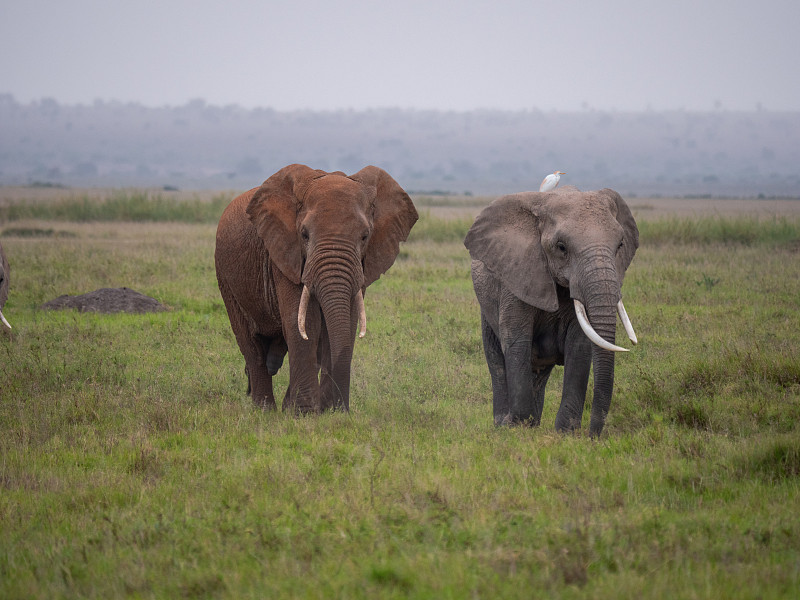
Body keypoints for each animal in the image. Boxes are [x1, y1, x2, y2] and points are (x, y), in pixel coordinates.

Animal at [217, 164, 418, 412]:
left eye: (365, 236)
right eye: (304, 234)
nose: (343, 409)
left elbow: (346, 322)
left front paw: (326, 412)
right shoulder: (285, 255)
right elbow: (304, 324)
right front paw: (305, 413)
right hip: (225, 278)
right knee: (252, 346)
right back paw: (264, 410)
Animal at [462, 188, 636, 436]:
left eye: (620, 245)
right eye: (561, 247)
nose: (593, 436)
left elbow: (579, 346)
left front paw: (566, 433)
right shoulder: (517, 274)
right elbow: (516, 341)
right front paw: (516, 427)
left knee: (540, 369)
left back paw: (533, 423)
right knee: (496, 358)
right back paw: (503, 423)